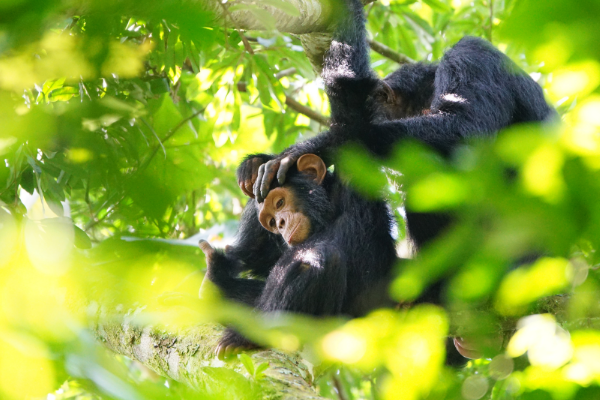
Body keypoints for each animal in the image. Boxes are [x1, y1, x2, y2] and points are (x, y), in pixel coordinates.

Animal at [203, 155, 398, 358]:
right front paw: (254, 167)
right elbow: (261, 257)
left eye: (280, 202)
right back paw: (214, 280)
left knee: (321, 258)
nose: (280, 223)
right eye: (271, 221)